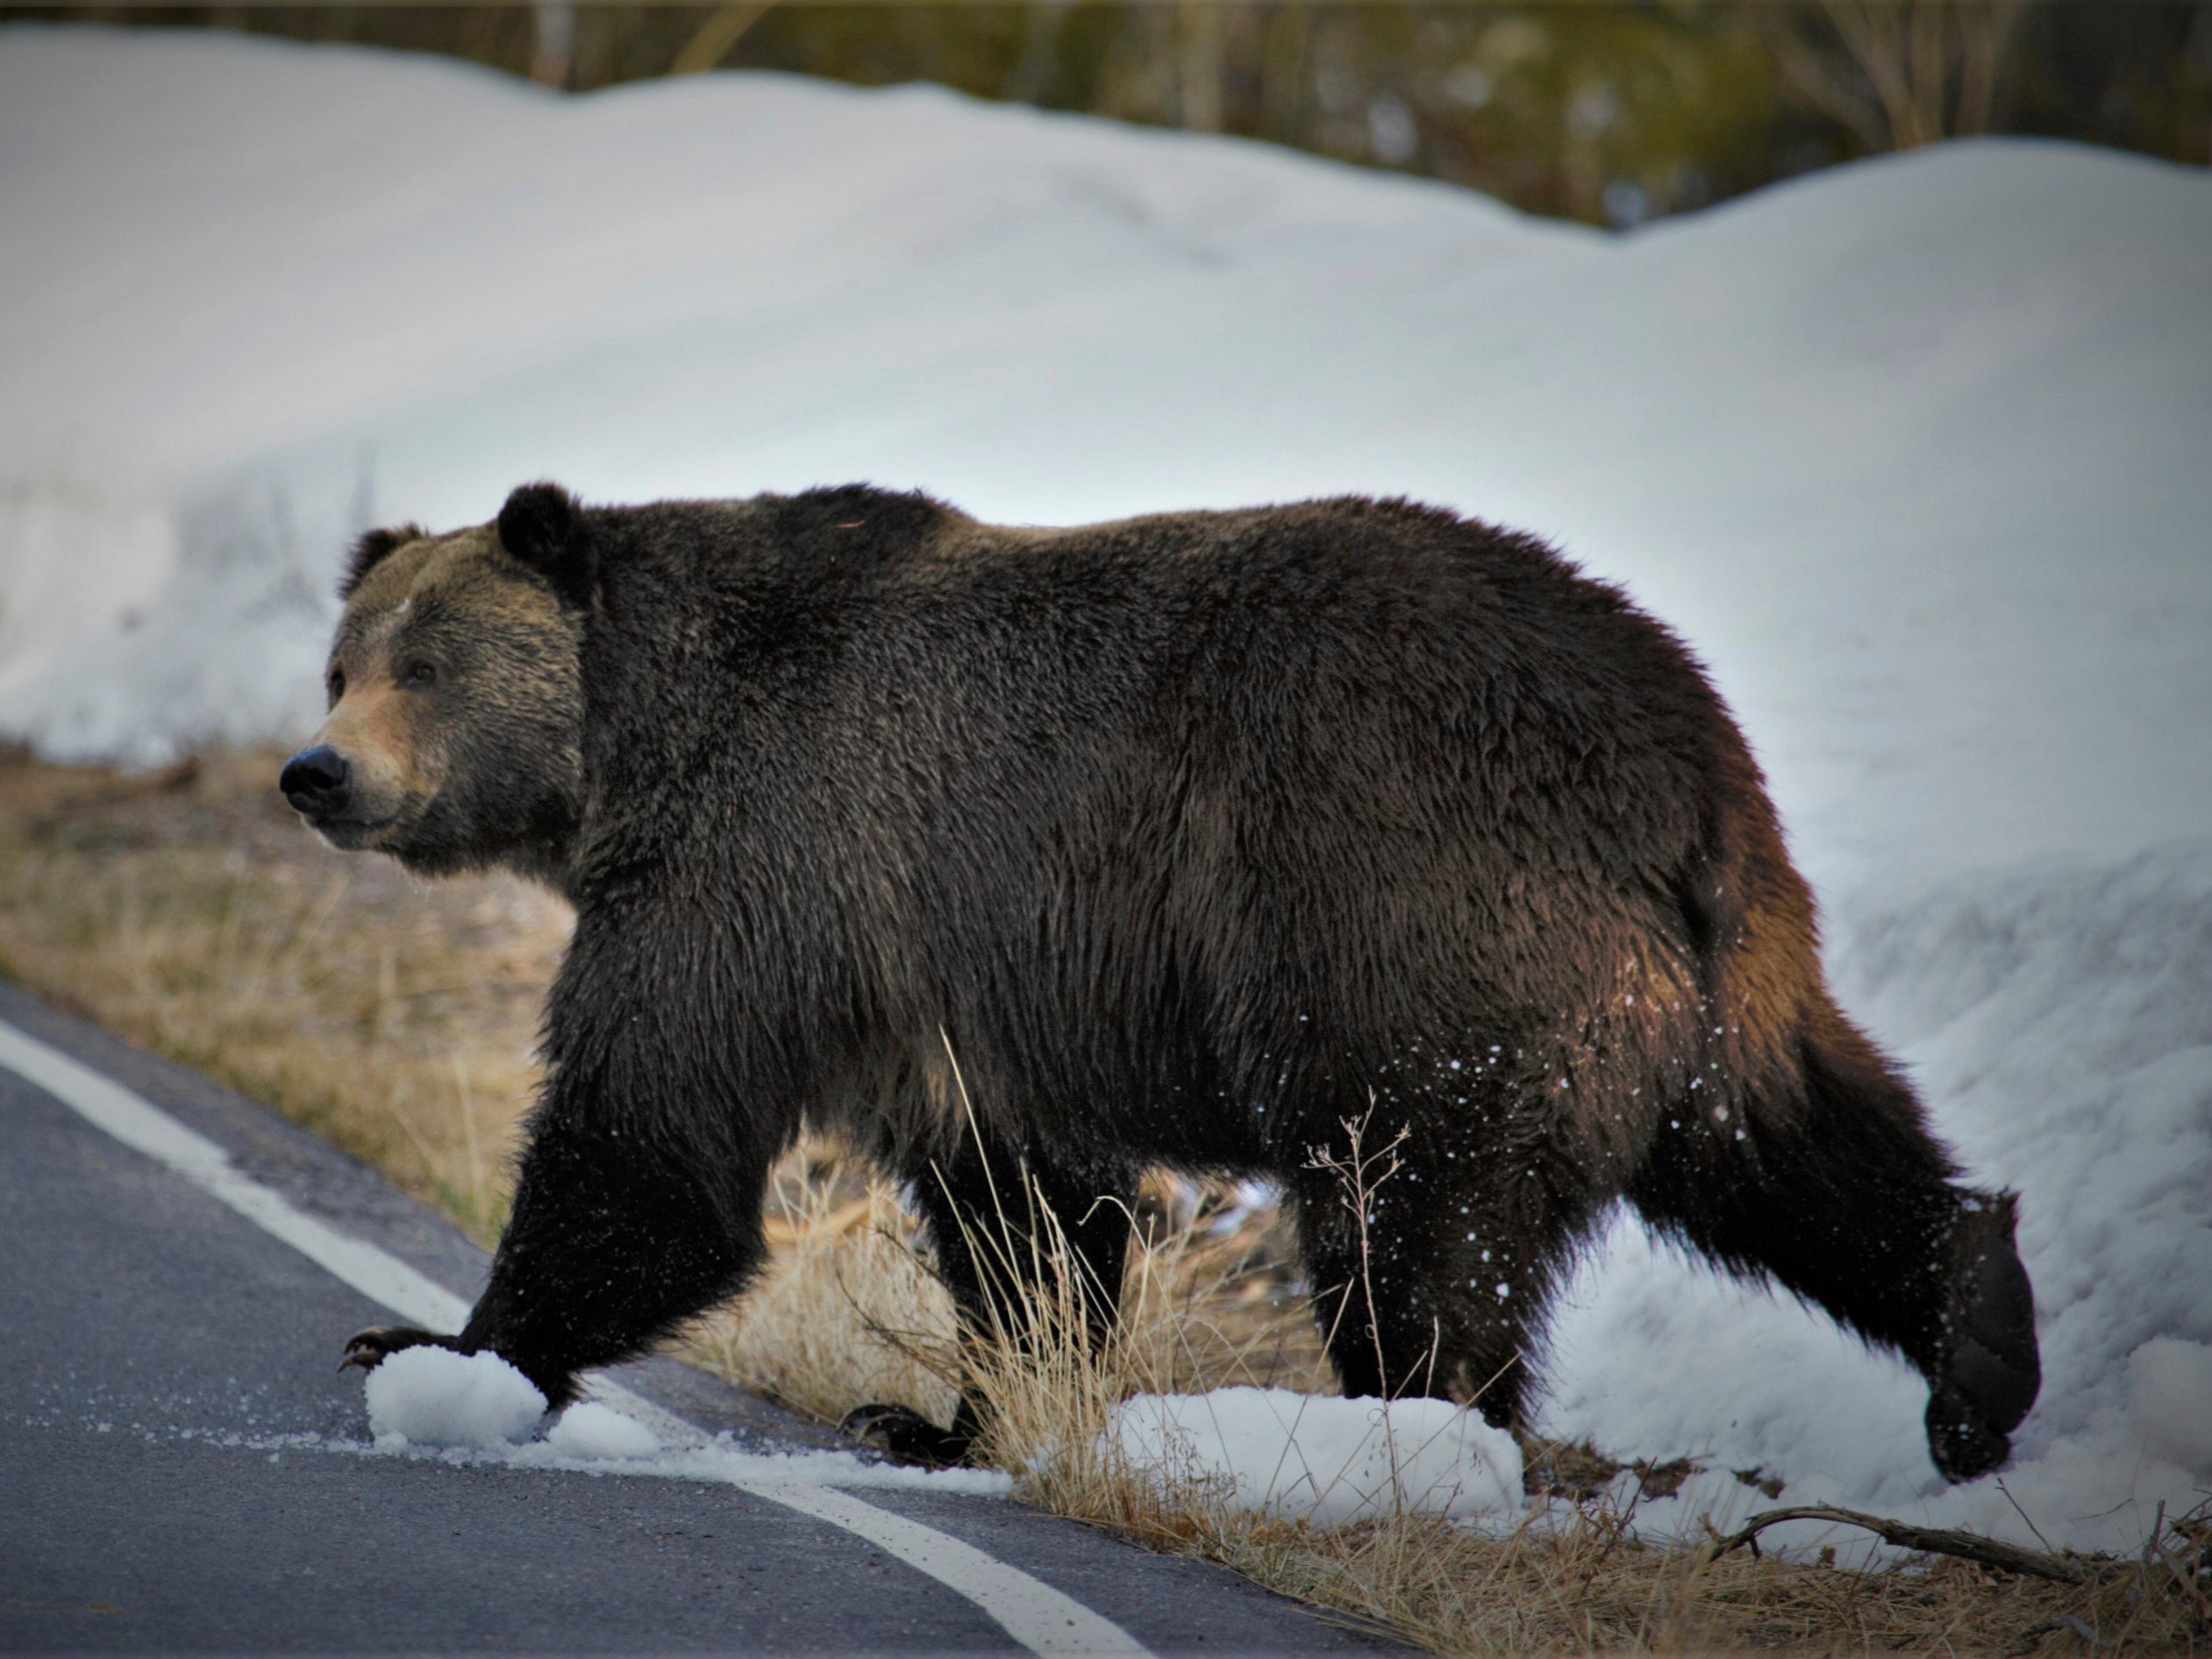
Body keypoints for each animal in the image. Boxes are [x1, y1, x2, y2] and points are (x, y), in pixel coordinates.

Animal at [289, 480, 2035, 1477]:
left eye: (425, 664)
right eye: (342, 659)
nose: (316, 770)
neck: (633, 752)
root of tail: (1685, 762)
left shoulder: (768, 866)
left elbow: (650, 1140)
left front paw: (436, 1345)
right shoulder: (953, 988)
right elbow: (1025, 1216)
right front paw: (939, 1417)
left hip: (1411, 926)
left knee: (1411, 1228)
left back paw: (1414, 1437)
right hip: (1717, 982)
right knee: (1797, 1146)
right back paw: (1980, 1345)